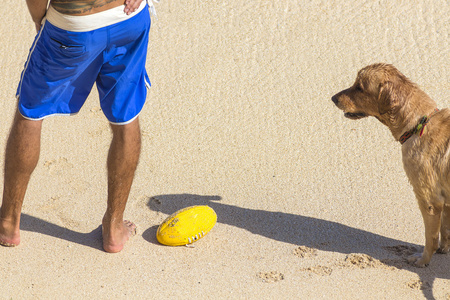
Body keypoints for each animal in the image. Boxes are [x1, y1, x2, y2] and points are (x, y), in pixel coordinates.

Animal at [330, 63, 450, 268]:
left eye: (359, 87)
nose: (333, 98)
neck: (418, 124)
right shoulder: (445, 198)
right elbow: (445, 229)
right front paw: (444, 249)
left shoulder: (429, 199)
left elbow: (430, 237)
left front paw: (422, 260)